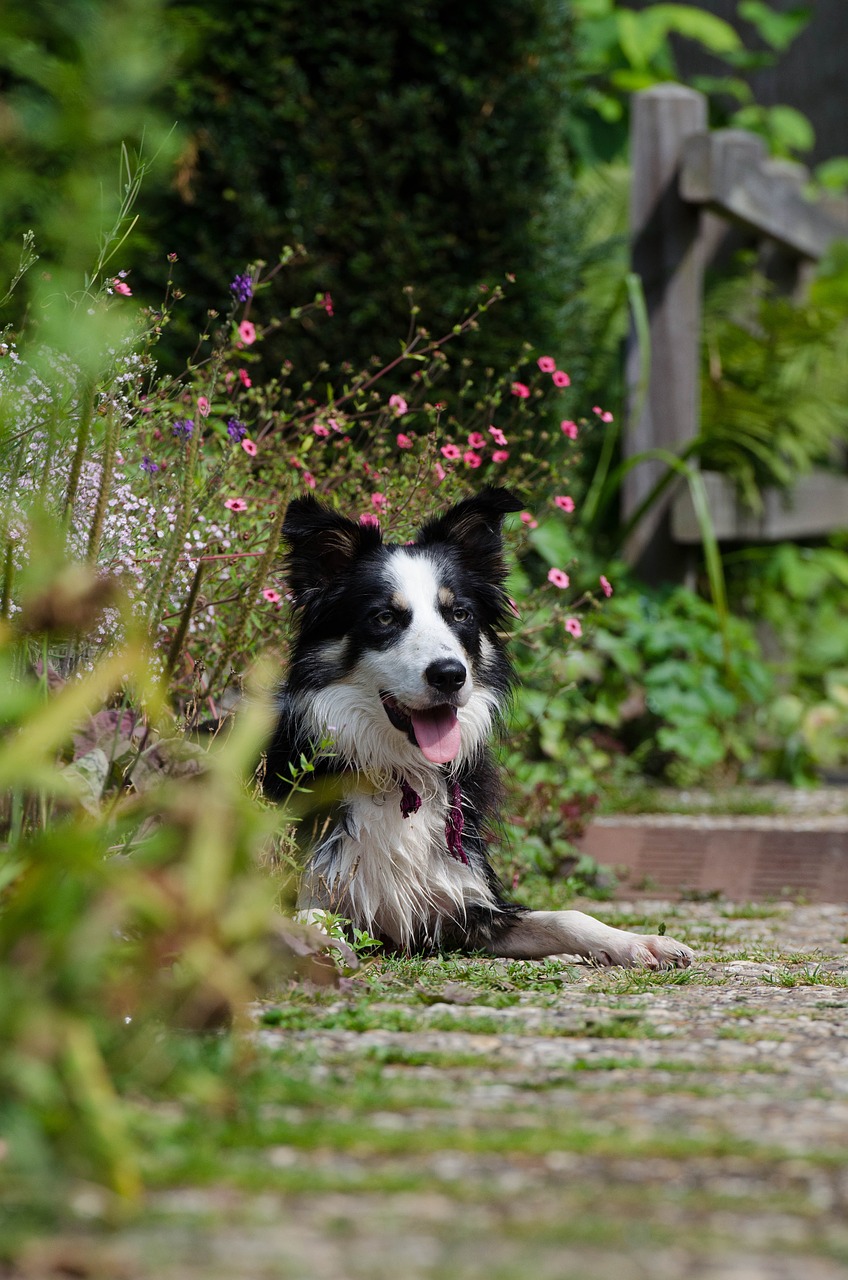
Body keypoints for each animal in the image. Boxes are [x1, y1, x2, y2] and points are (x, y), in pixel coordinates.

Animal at [267, 483, 696, 962]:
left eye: (460, 614)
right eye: (384, 618)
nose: (449, 675)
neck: (401, 775)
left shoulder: (465, 903)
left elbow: (567, 916)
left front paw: (637, 941)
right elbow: (308, 919)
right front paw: (323, 949)